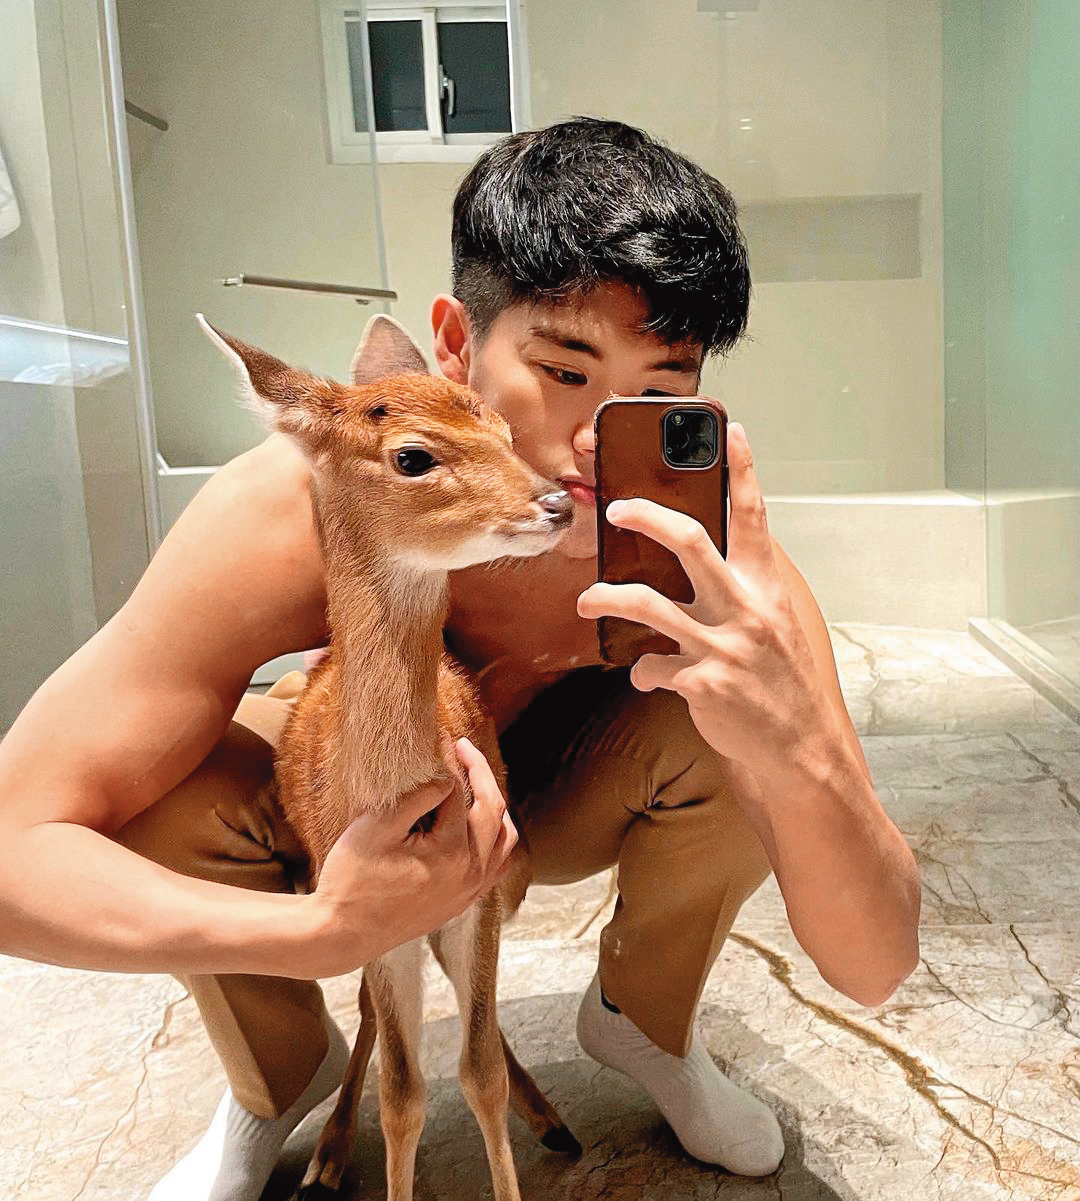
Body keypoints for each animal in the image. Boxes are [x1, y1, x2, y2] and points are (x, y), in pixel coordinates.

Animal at [198, 312, 581, 1201]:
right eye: (412, 455)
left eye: (503, 428)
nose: (554, 500)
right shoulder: (366, 911)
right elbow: (403, 1094)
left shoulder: (479, 892)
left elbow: (479, 1071)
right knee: (375, 1024)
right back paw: (328, 1158)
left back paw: (553, 1119)